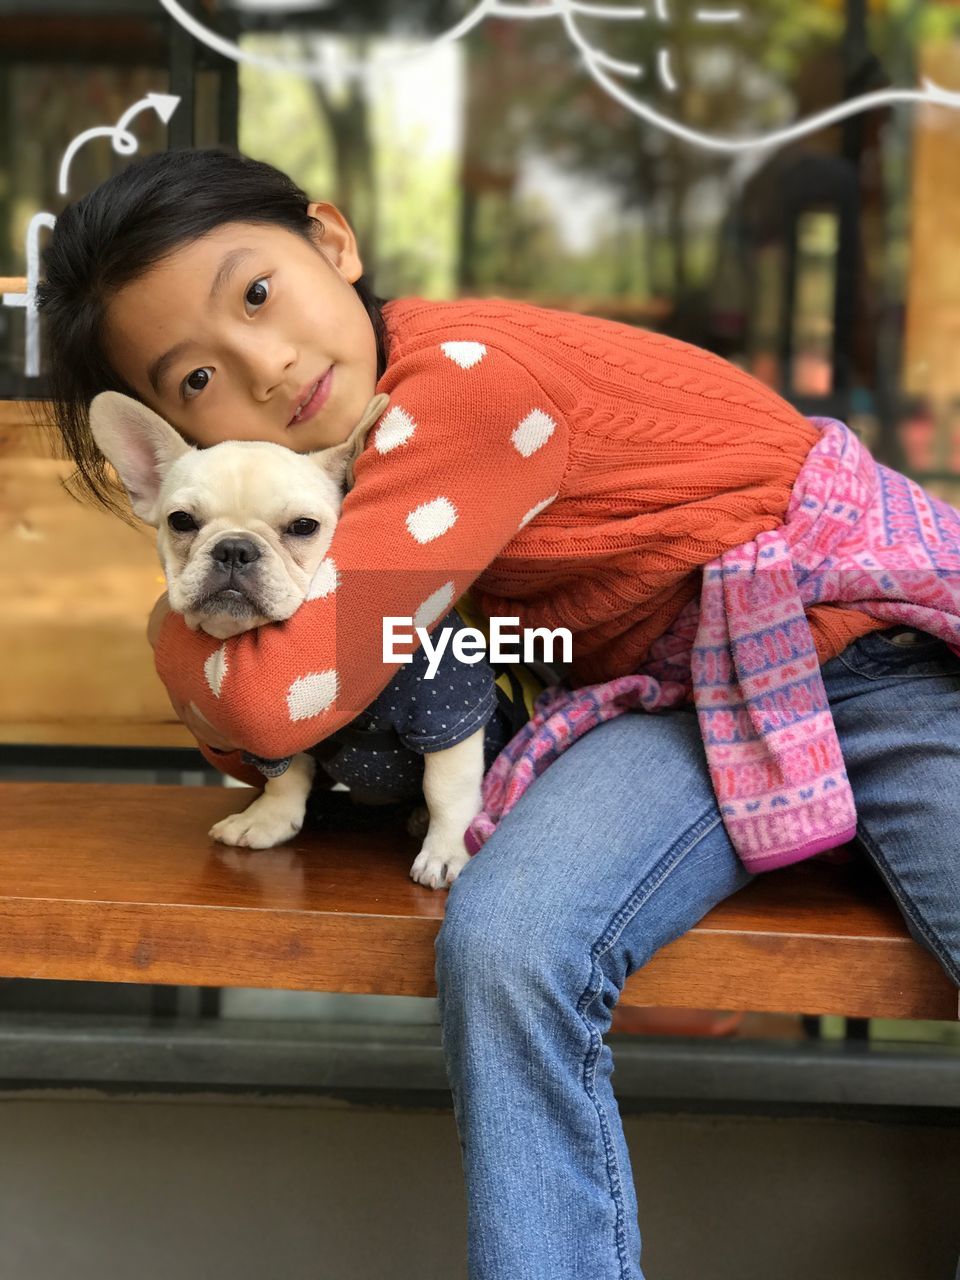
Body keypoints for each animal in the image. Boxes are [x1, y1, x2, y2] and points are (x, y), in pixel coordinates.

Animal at [88, 389, 488, 890]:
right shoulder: (282, 729)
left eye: (303, 526)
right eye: (180, 521)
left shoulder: (449, 710)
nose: (234, 547)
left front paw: (447, 851)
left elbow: (446, 790)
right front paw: (270, 819)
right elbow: (286, 773)